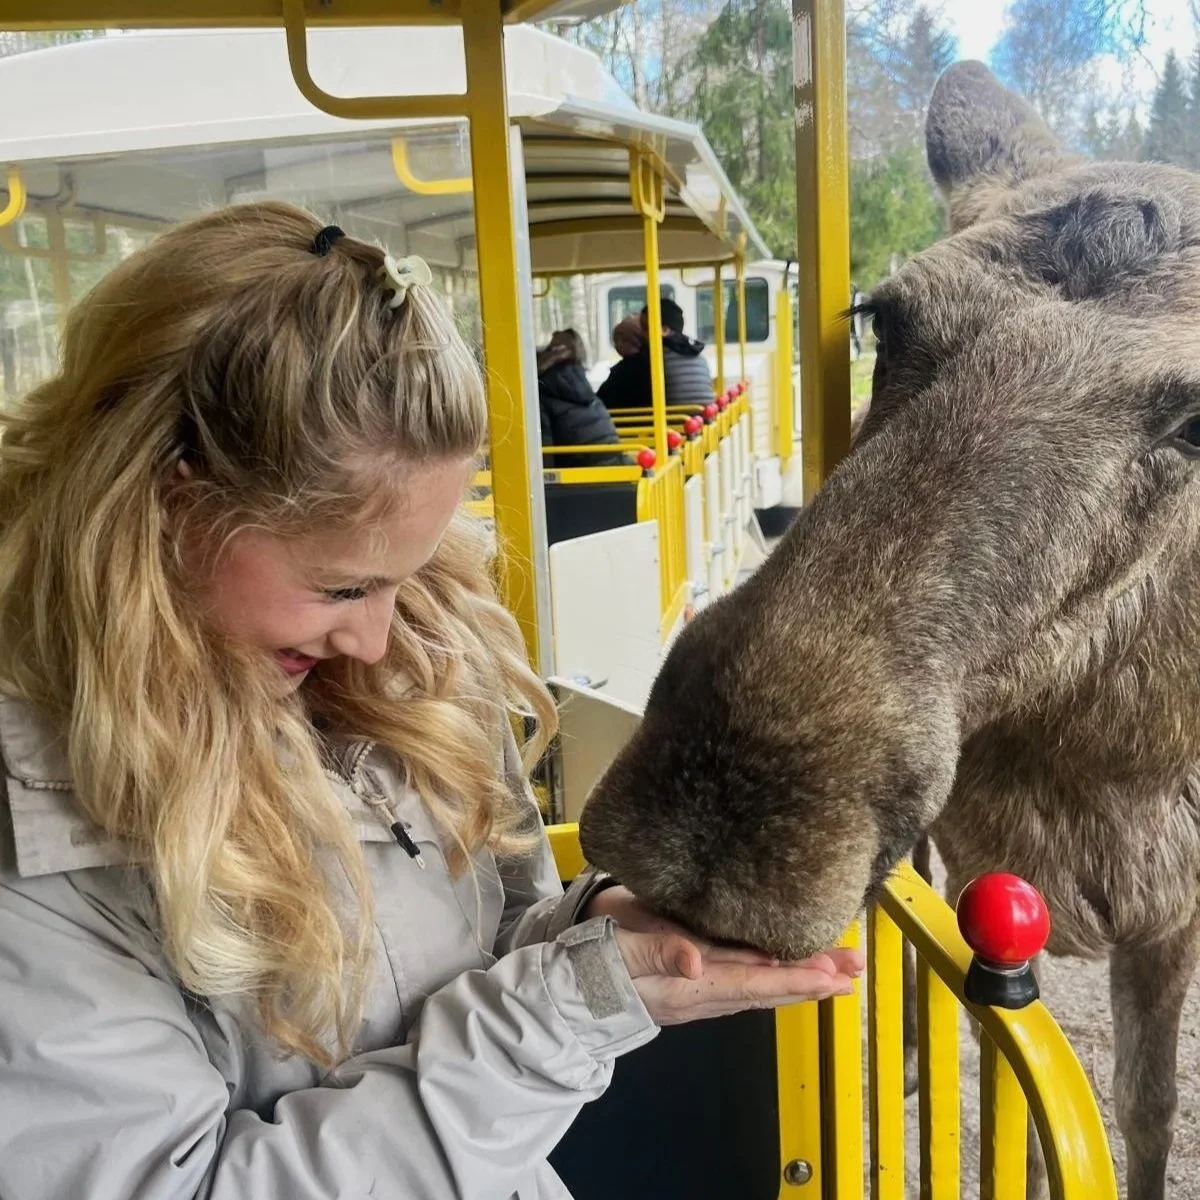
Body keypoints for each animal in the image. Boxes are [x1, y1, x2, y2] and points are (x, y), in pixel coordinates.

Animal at [577, 60, 1200, 1200]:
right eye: (883, 315)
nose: (716, 820)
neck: (1098, 772)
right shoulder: (980, 856)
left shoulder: (1170, 911)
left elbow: (1143, 1113)